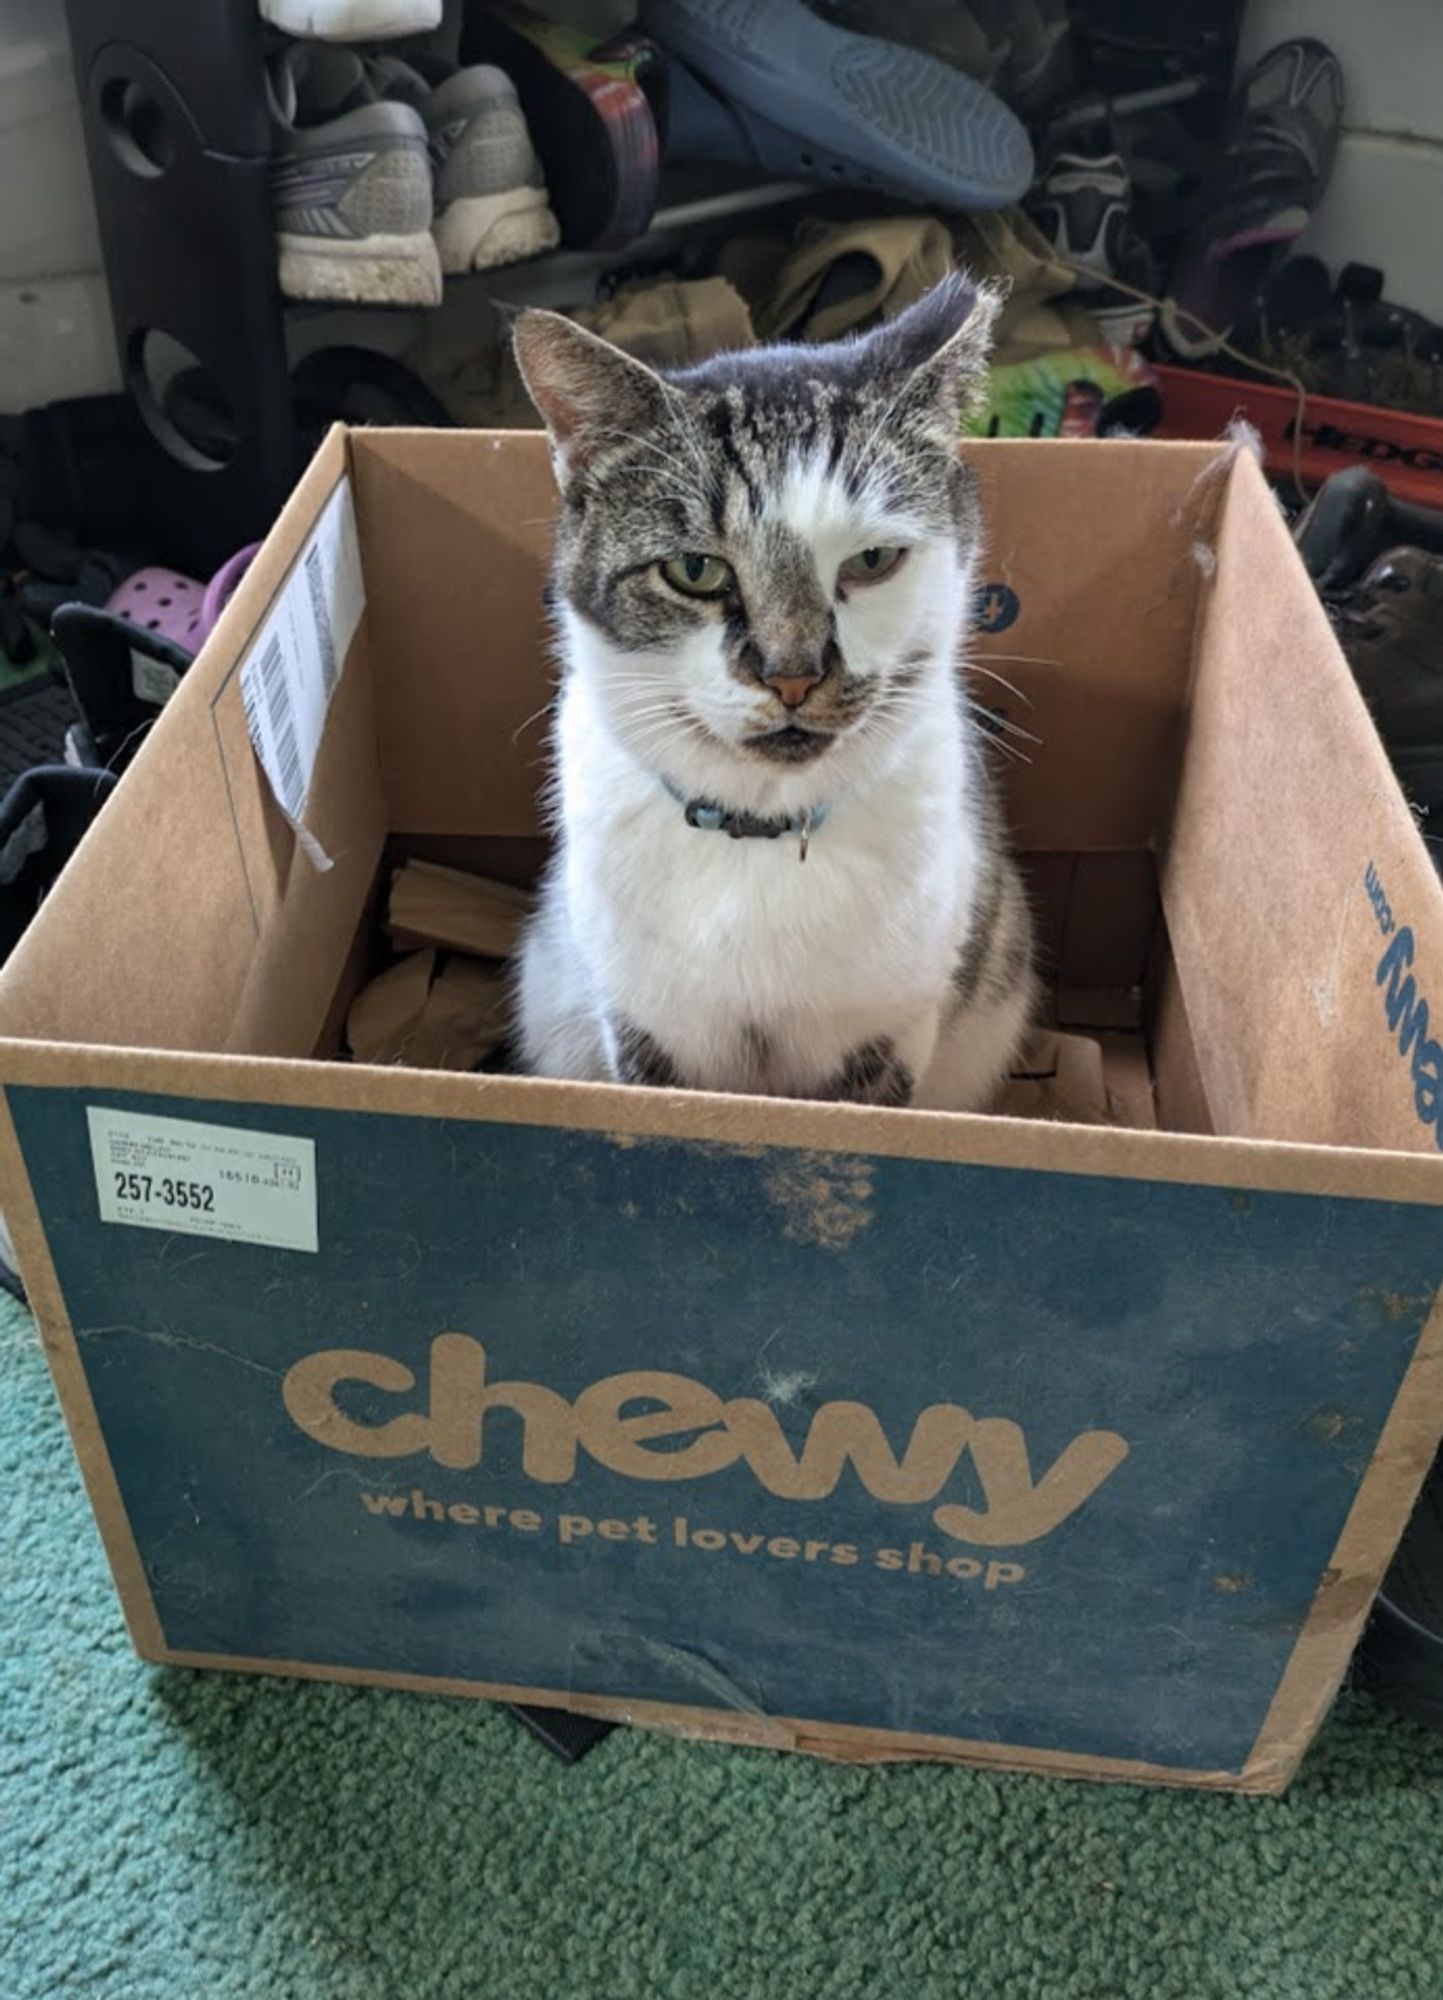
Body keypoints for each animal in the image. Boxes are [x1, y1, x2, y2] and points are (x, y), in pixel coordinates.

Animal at [511, 270, 1031, 1112]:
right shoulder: (641, 1031)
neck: (759, 833)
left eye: (873, 559)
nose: (793, 672)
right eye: (693, 570)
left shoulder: (889, 1040)